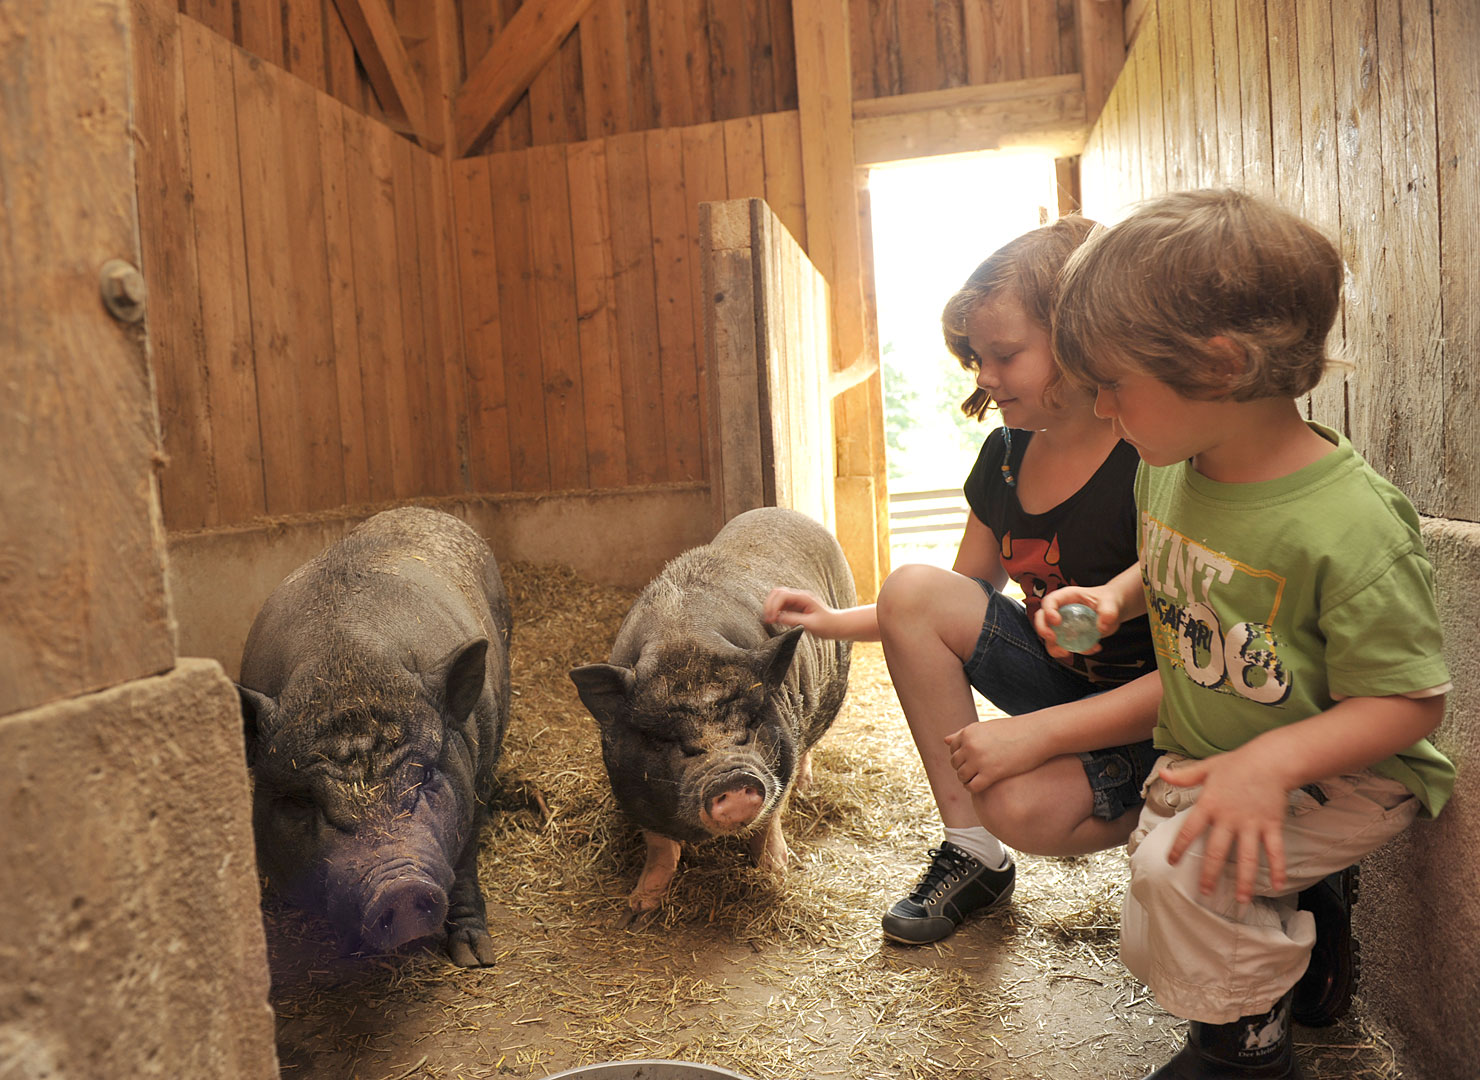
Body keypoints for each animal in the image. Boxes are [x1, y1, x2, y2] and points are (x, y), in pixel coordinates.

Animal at [232, 505, 509, 970]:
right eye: (300, 800)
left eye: (426, 776)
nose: (400, 888)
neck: (349, 672)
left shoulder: (477, 786)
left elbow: (466, 865)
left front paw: (475, 958)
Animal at [565, 505, 852, 917]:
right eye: (662, 738)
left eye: (751, 722)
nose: (731, 778)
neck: (685, 641)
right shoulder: (628, 785)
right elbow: (660, 846)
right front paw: (638, 908)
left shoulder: (782, 755)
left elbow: (770, 822)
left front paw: (777, 874)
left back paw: (806, 787)